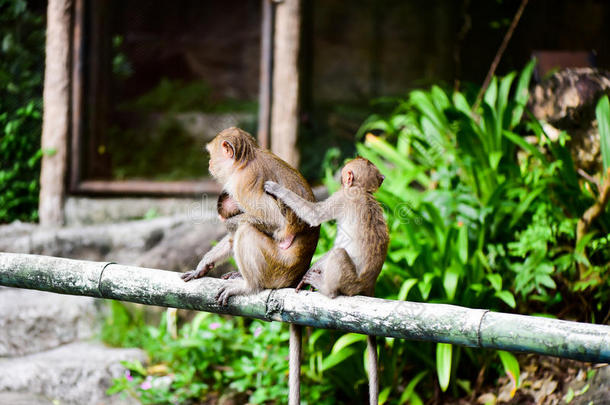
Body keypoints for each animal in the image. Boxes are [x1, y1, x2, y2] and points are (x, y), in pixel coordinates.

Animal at [179, 125, 318, 400]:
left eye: (212, 154)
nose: (209, 162)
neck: (246, 161)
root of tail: (295, 277)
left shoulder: (244, 182)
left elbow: (274, 221)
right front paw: (203, 265)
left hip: (275, 267)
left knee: (246, 229)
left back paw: (248, 285)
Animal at [264, 155, 388, 404]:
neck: (362, 191)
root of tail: (369, 284)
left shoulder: (342, 197)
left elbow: (314, 215)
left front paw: (276, 188)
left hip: (350, 281)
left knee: (338, 254)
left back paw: (325, 287)